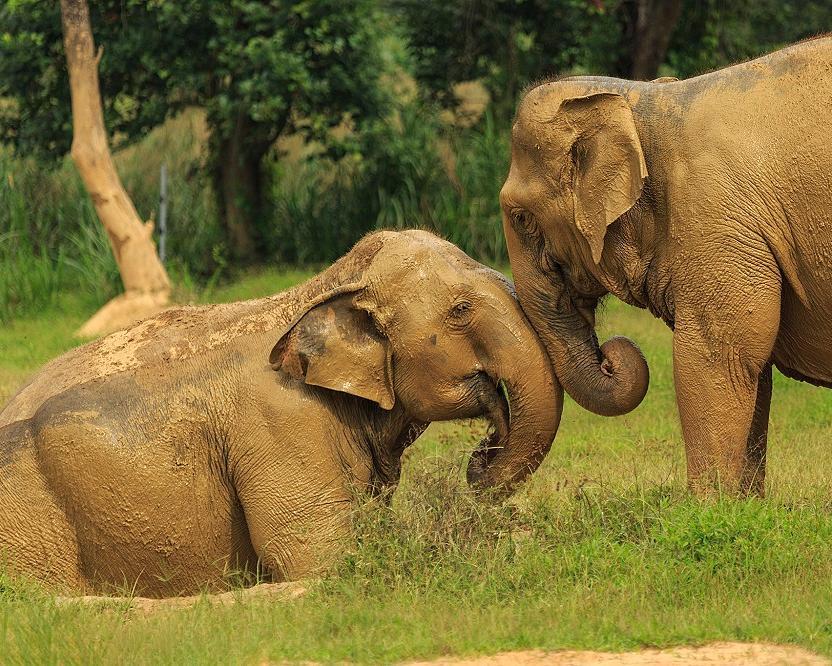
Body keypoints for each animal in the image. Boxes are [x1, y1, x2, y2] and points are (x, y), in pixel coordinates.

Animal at [500, 35, 832, 492]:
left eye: (521, 218)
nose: (611, 354)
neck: (643, 102)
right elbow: (753, 368)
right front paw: (742, 504)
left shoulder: (714, 221)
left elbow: (718, 357)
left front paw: (707, 505)